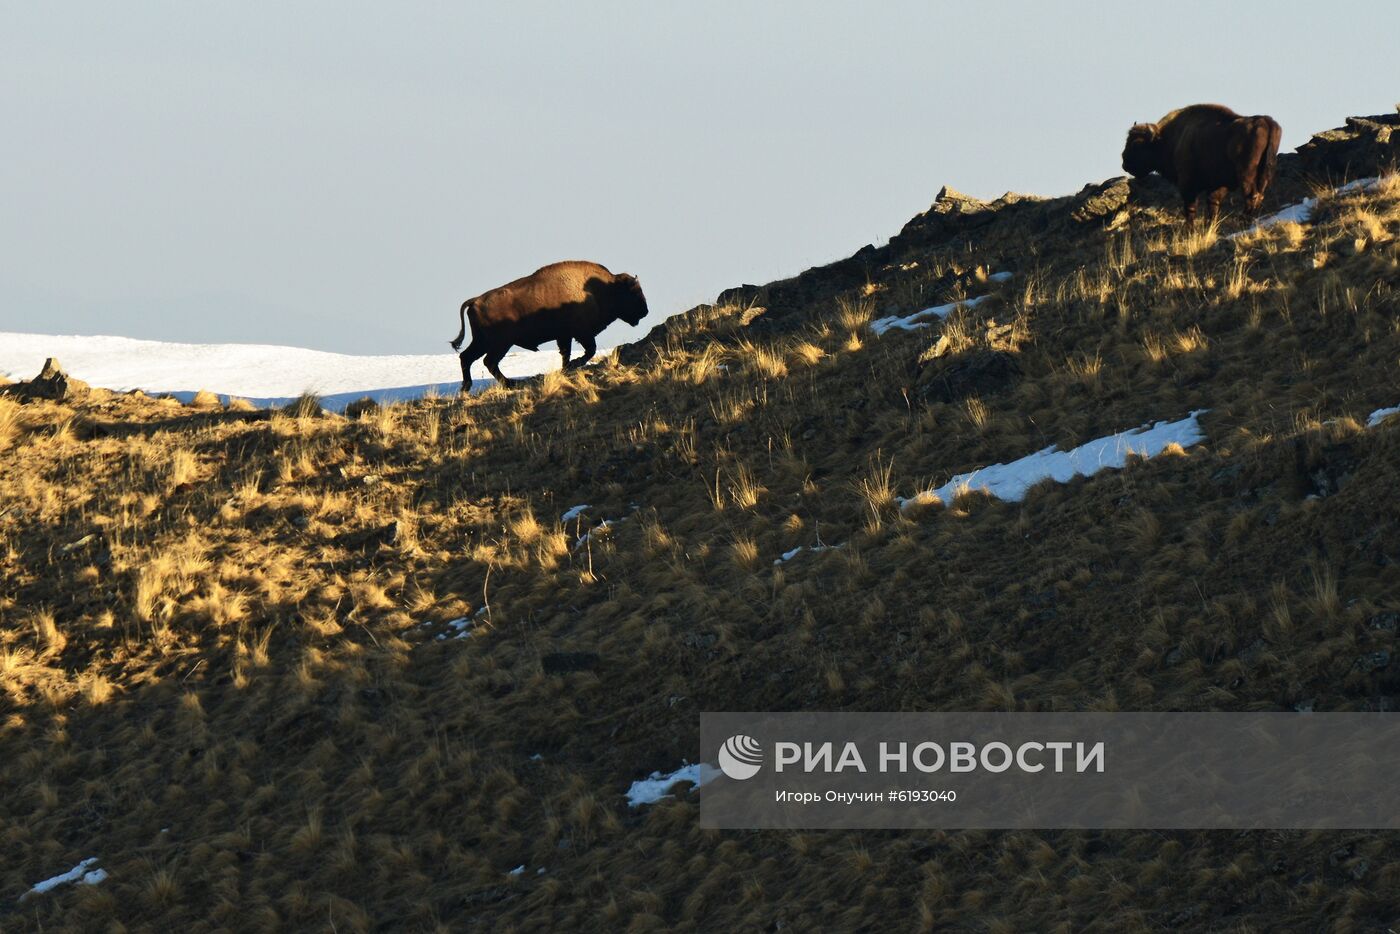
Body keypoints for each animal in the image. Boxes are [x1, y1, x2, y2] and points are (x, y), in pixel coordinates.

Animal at [448, 259, 649, 392]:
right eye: (633, 291)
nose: (645, 311)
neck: (603, 288)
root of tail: (476, 300)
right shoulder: (582, 334)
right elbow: (588, 350)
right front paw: (574, 364)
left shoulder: (565, 336)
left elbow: (566, 353)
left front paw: (567, 367)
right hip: (499, 343)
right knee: (488, 361)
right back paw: (509, 384)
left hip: (483, 342)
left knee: (467, 357)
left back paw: (468, 387)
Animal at [1120, 104, 1282, 222]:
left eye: (1137, 145)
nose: (1125, 163)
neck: (1167, 139)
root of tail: (1265, 121)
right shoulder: (1216, 186)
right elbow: (1213, 205)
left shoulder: (1187, 184)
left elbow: (1190, 208)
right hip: (1263, 174)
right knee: (1259, 194)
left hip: (1246, 174)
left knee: (1251, 195)